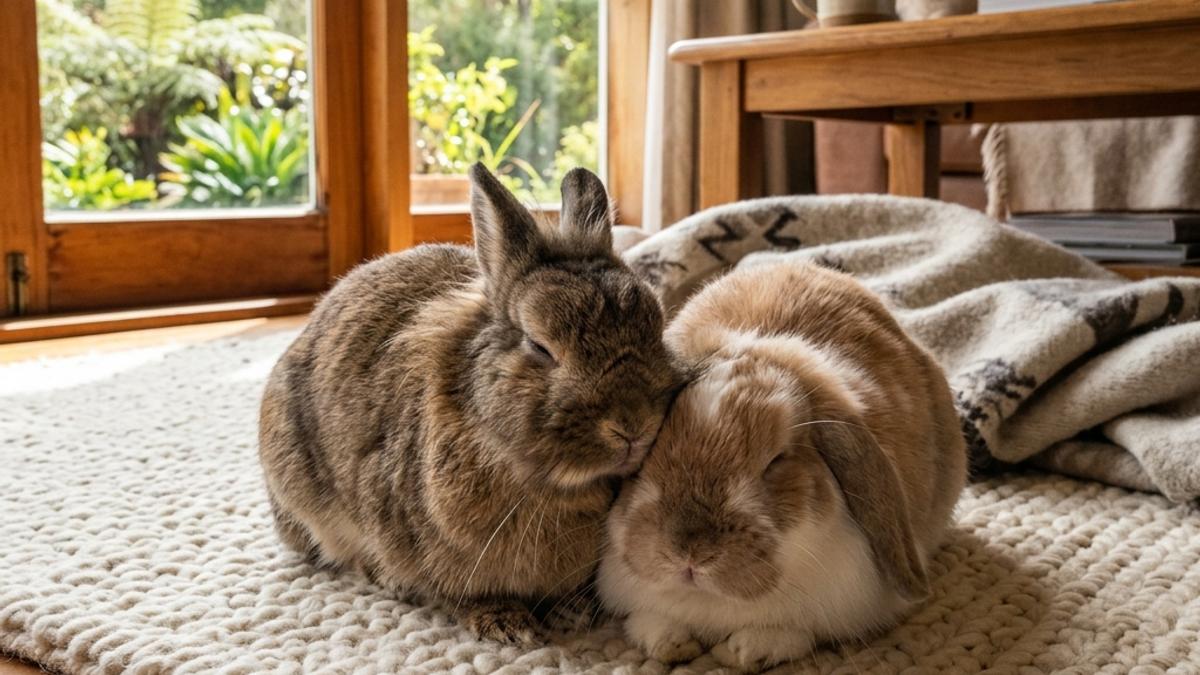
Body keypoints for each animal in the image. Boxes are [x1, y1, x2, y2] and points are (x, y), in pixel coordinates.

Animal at [259, 164, 682, 644]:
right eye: (540, 346)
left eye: (656, 328)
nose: (634, 425)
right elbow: (458, 593)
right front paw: (506, 624)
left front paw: (570, 613)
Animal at [598, 261, 966, 671]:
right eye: (646, 456)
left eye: (776, 460)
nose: (689, 553)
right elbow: (651, 622)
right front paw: (671, 643)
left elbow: (789, 635)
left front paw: (743, 650)